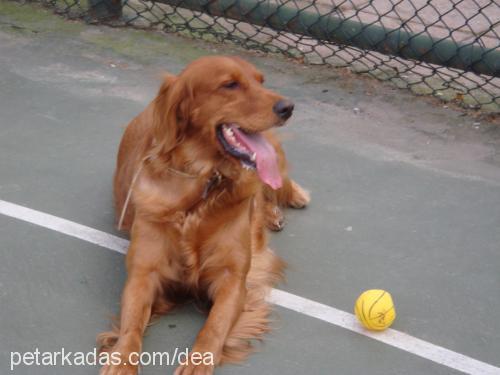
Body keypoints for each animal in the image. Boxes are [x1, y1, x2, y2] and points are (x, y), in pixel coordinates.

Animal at [97, 54, 308, 374]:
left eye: (261, 81)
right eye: (230, 84)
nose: (288, 107)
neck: (205, 184)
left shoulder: (233, 280)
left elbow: (214, 327)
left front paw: (197, 363)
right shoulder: (143, 273)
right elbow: (130, 327)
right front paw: (121, 360)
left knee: (277, 184)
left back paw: (286, 203)